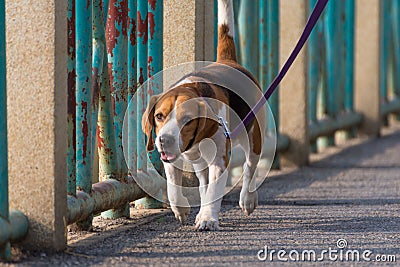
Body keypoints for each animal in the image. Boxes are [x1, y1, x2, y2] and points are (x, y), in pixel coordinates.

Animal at [142, 0, 264, 231]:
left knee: (250, 167)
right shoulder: (172, 161)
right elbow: (174, 187)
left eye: (186, 120)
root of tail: (227, 61)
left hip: (253, 137)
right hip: (199, 162)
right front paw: (182, 210)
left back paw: (247, 199)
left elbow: (215, 190)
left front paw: (208, 218)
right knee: (203, 182)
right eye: (159, 116)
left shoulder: (220, 160)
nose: (165, 140)